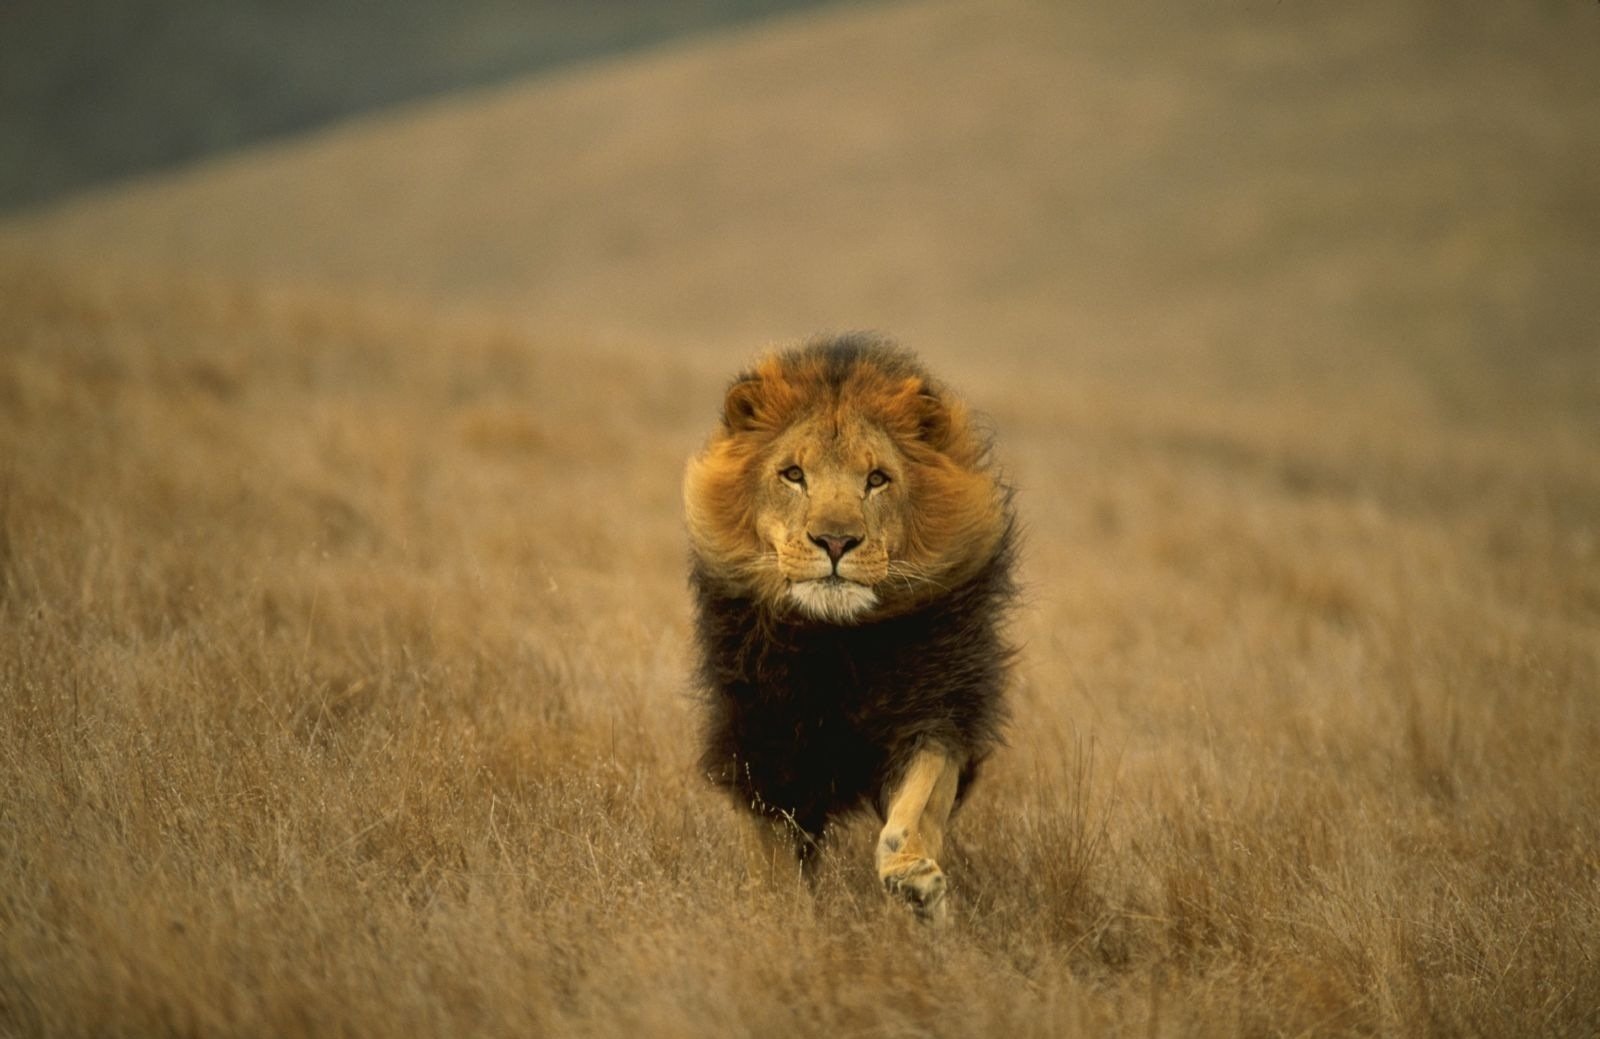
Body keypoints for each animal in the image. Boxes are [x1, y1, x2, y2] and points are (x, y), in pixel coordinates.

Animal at [683, 333, 1016, 923]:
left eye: (877, 479)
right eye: (794, 475)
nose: (835, 541)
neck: (836, 645)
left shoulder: (935, 710)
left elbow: (915, 807)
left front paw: (913, 879)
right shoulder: (762, 744)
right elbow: (772, 863)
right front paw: (781, 918)